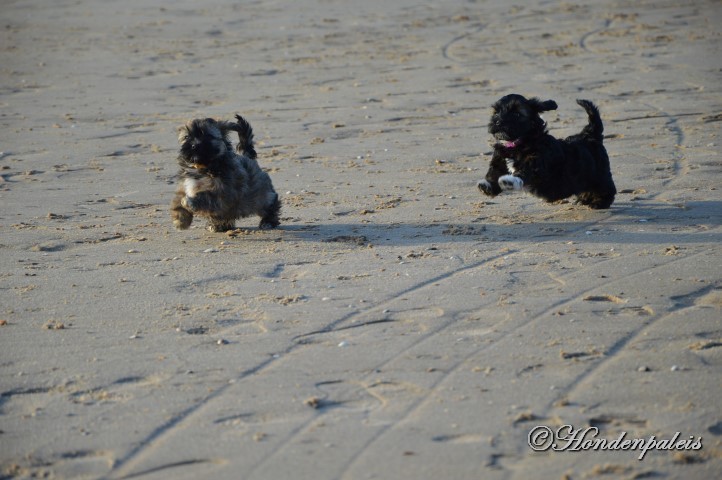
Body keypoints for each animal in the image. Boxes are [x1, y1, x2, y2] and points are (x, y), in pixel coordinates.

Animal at [478, 94, 612, 209]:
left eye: (517, 114)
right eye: (496, 112)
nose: (497, 121)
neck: (517, 144)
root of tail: (590, 134)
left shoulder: (536, 162)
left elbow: (524, 171)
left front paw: (509, 181)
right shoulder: (499, 159)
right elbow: (494, 172)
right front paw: (487, 186)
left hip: (600, 174)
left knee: (606, 188)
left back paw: (599, 202)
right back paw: (583, 199)